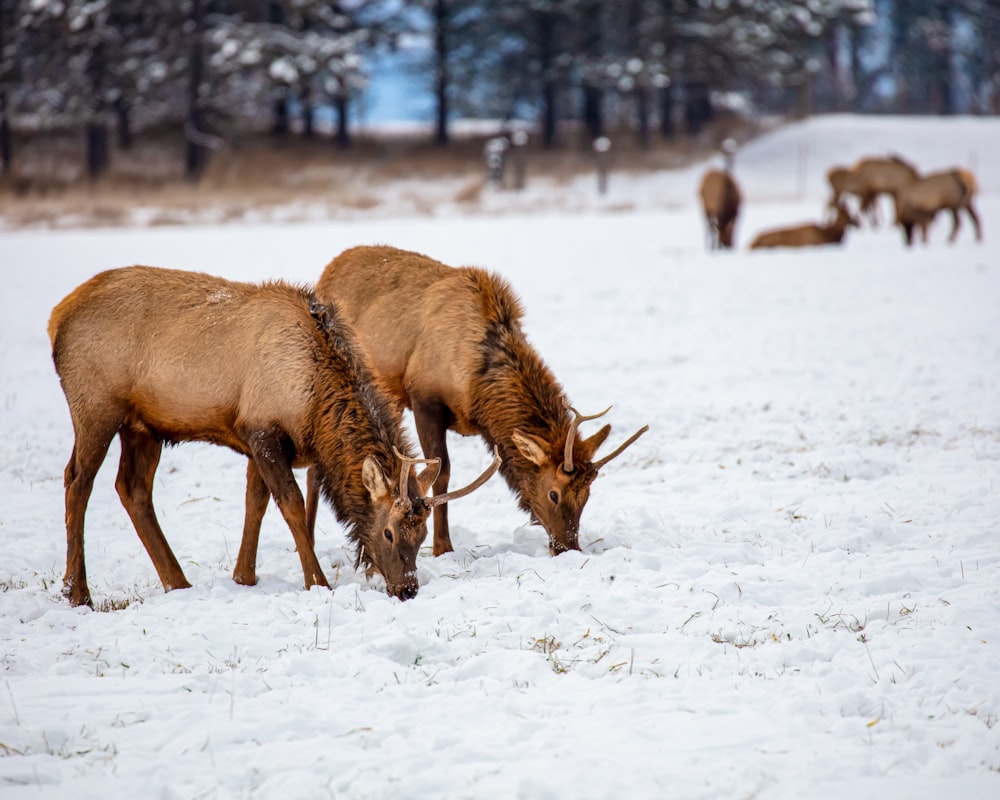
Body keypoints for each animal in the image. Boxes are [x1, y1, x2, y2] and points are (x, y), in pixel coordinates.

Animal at [47, 264, 500, 608]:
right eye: (389, 532)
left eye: (421, 534)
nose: (407, 588)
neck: (313, 406)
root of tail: (57, 319)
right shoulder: (262, 431)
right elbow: (291, 506)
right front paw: (317, 581)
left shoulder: (255, 438)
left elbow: (256, 503)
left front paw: (243, 576)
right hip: (96, 406)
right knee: (77, 481)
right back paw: (78, 592)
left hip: (143, 426)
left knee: (132, 488)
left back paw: (177, 581)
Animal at [304, 247, 648, 560]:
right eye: (554, 493)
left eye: (587, 493)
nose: (568, 547)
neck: (476, 387)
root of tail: (326, 273)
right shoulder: (425, 400)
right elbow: (441, 473)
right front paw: (442, 547)